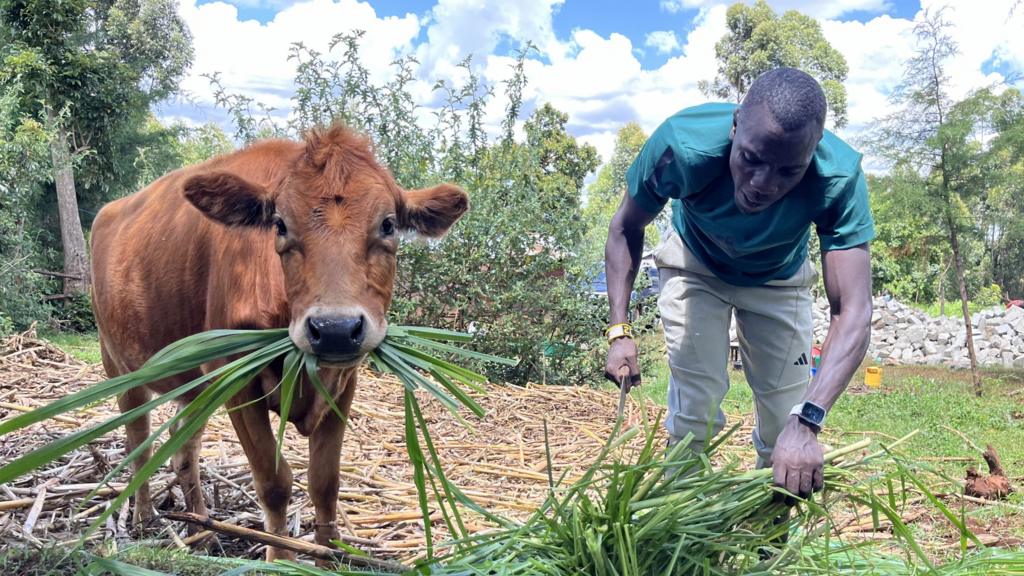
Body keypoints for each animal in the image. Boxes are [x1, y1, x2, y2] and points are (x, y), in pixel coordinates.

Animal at [92, 124, 468, 557]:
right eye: (281, 225)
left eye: (388, 224)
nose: (335, 328)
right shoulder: (234, 377)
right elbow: (273, 482)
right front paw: (280, 557)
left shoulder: (344, 382)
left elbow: (325, 482)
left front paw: (329, 555)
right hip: (119, 364)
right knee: (140, 442)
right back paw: (143, 517)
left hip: (195, 386)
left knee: (183, 448)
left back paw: (201, 528)